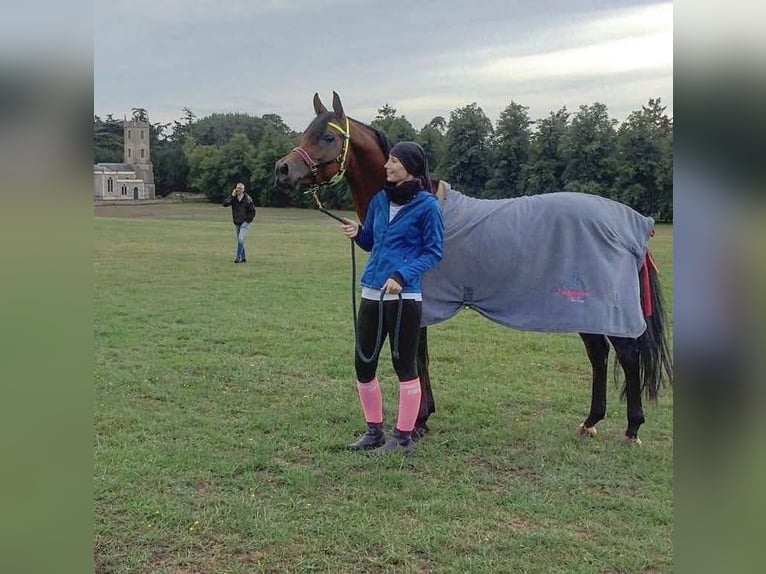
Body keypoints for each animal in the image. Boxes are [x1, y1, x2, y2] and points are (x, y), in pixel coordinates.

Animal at [275, 91, 672, 444]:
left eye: (327, 136)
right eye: (305, 132)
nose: (282, 169)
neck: (412, 197)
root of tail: (634, 223)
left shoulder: (415, 305)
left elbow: (417, 358)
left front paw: (418, 422)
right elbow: (421, 359)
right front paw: (424, 418)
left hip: (604, 308)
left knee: (627, 355)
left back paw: (632, 428)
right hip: (583, 310)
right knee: (599, 355)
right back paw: (591, 421)